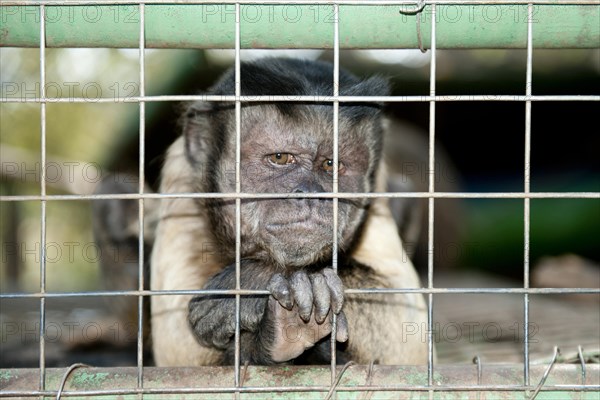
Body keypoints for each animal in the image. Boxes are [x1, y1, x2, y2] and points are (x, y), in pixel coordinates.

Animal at [95, 57, 432, 366]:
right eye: (280, 158)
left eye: (332, 164)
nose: (311, 194)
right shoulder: (180, 177)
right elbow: (180, 357)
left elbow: (406, 329)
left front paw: (254, 282)